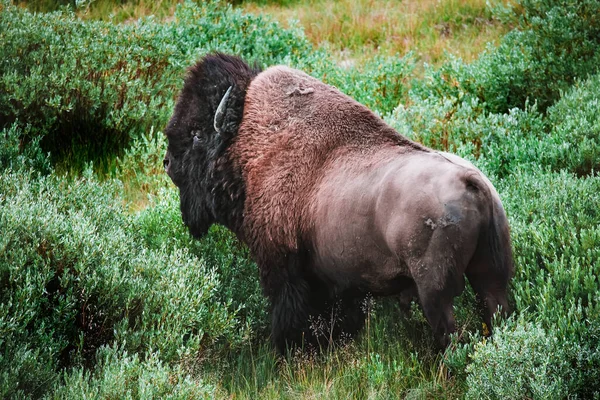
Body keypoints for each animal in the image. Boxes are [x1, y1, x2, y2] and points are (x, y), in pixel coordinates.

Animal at [162, 53, 512, 354]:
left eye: (196, 134)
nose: (167, 163)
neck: (244, 144)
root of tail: (473, 182)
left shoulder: (284, 270)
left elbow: (288, 317)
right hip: (492, 276)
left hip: (436, 292)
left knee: (449, 332)